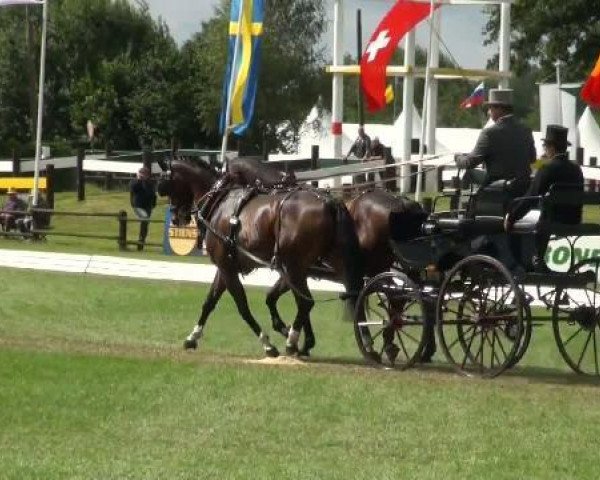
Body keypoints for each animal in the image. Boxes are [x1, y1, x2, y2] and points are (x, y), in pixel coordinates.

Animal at [157, 160, 364, 356]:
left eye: (166, 184)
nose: (176, 218)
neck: (219, 202)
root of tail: (330, 203)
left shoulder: (227, 268)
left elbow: (243, 307)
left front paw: (268, 344)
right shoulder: (225, 267)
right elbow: (210, 302)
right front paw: (192, 337)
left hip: (294, 266)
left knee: (306, 302)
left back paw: (292, 342)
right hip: (317, 265)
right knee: (346, 295)